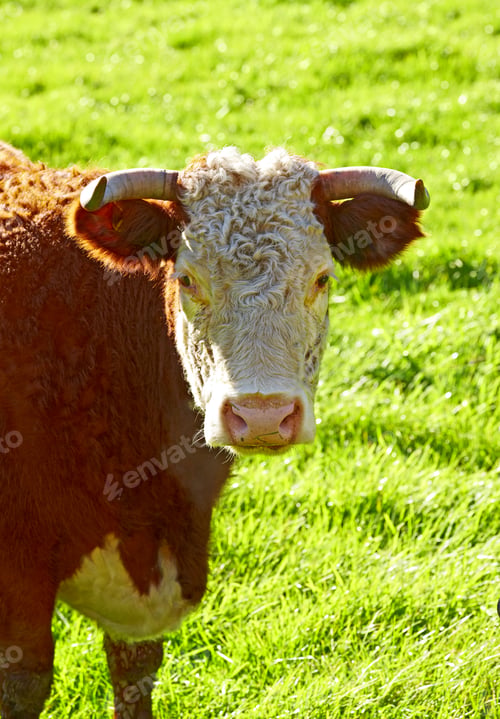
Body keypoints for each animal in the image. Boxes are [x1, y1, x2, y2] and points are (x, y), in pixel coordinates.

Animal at [0, 140, 429, 718]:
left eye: (322, 278)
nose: (263, 415)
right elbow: (25, 683)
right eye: (187, 279)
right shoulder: (19, 578)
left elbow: (134, 672)